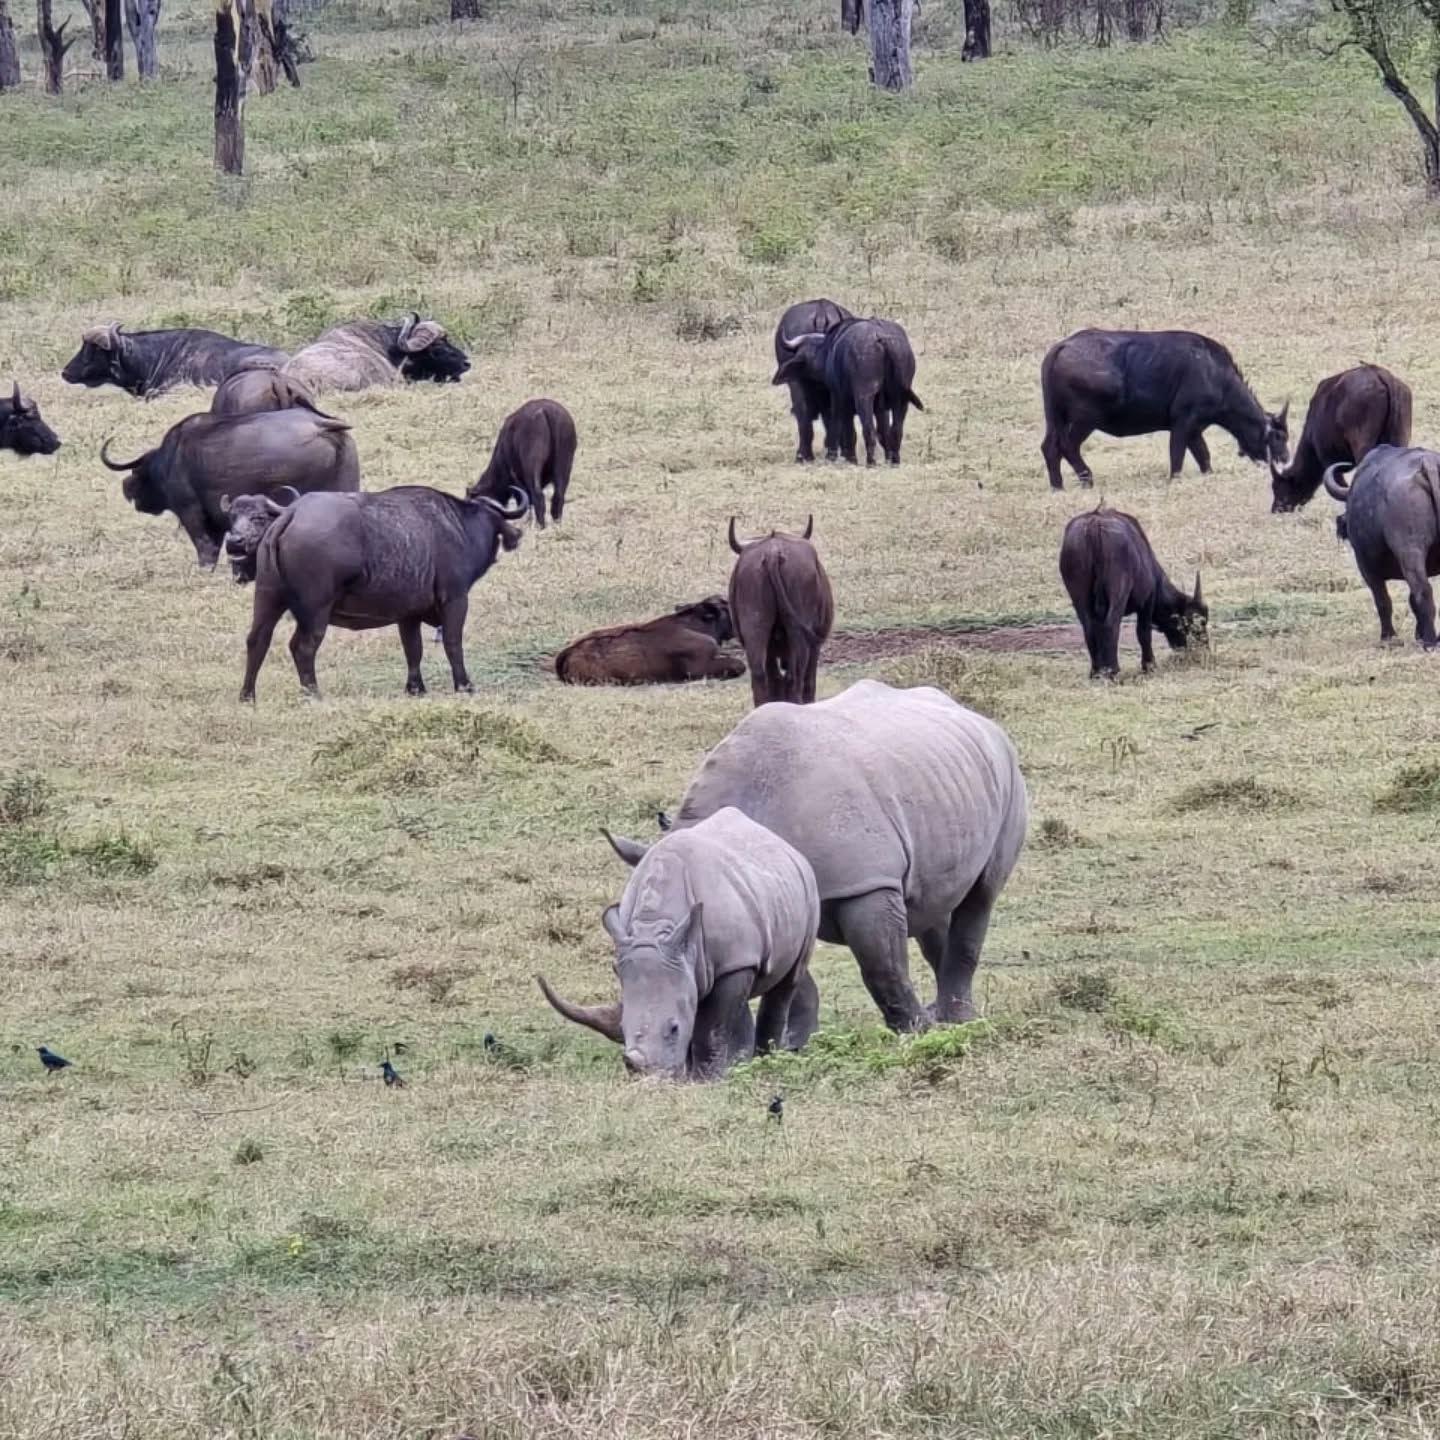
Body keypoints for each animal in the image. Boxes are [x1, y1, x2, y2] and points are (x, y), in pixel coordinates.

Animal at [537, 808, 821, 1079]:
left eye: (673, 1029)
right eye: (622, 1028)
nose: (647, 1076)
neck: (655, 927)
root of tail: (782, 843)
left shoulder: (735, 960)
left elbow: (711, 1029)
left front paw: (705, 1080)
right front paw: (689, 1077)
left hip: (807, 889)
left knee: (786, 983)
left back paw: (767, 1061)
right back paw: (740, 1064)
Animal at [607, 680, 1028, 1034]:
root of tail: (974, 716)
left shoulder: (865, 883)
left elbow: (882, 966)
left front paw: (916, 1032)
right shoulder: (781, 897)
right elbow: (798, 979)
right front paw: (796, 1042)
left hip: (1007, 770)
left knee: (981, 893)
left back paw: (957, 1021)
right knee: (932, 902)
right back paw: (946, 1014)